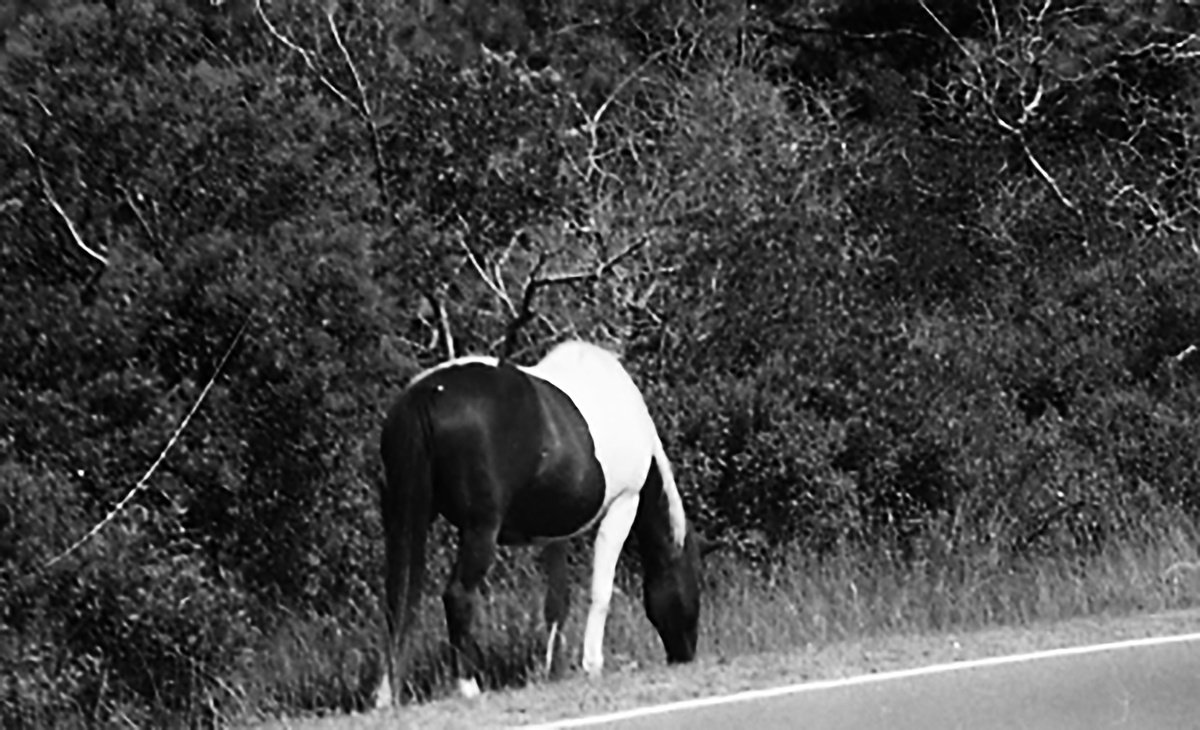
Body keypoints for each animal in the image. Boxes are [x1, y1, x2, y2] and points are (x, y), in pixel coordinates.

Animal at [374, 340, 706, 706]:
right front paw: (591, 665)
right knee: (457, 595)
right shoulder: (623, 504)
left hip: (402, 517)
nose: (685, 654)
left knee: (398, 598)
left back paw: (385, 695)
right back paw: (468, 685)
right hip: (479, 530)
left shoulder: (555, 534)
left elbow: (556, 603)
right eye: (692, 579)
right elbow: (600, 592)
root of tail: (426, 395)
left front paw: (553, 670)